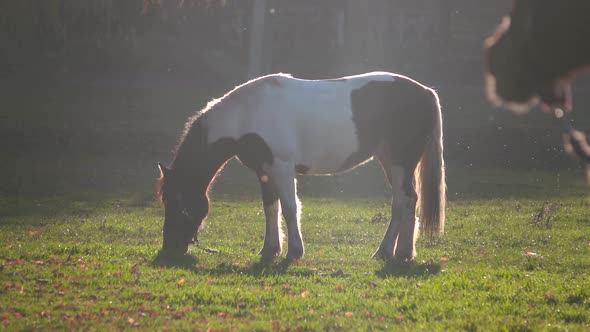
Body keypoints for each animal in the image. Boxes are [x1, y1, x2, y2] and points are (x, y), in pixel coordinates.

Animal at [155, 71, 446, 260]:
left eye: (179, 203)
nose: (169, 248)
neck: (247, 114)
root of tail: (426, 93)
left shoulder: (282, 167)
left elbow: (289, 207)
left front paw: (294, 251)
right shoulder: (264, 171)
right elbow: (270, 208)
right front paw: (270, 249)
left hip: (399, 162)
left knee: (401, 201)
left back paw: (384, 251)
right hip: (392, 162)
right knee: (411, 199)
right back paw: (404, 252)